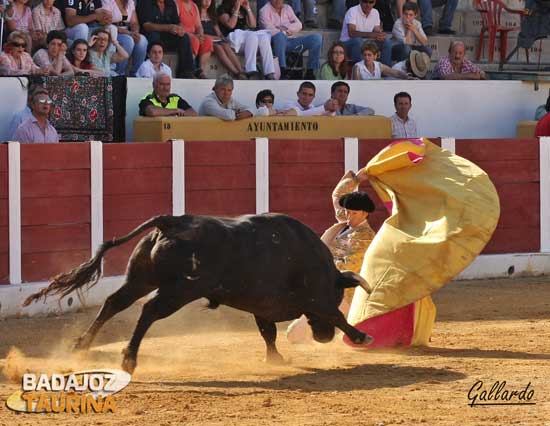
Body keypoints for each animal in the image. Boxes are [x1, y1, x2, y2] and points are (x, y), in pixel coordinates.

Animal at [22, 215, 376, 372]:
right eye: (337, 293)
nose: (323, 339)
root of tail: (171, 222)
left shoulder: (262, 305)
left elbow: (268, 332)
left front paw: (275, 359)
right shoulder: (314, 299)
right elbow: (336, 315)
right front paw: (361, 336)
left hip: (141, 279)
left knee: (113, 303)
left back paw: (82, 346)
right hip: (181, 290)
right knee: (148, 311)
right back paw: (128, 358)